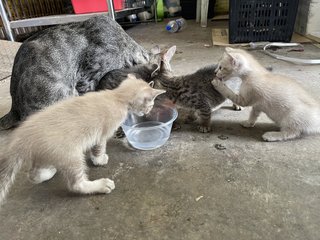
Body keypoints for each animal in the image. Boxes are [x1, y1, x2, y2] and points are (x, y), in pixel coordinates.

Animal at [0, 74, 165, 205]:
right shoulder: (102, 133)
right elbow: (99, 148)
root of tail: (21, 136)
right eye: (150, 104)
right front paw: (99, 159)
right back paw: (100, 185)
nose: (148, 112)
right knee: (76, 185)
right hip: (71, 154)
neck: (116, 97)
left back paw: (50, 170)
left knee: (33, 175)